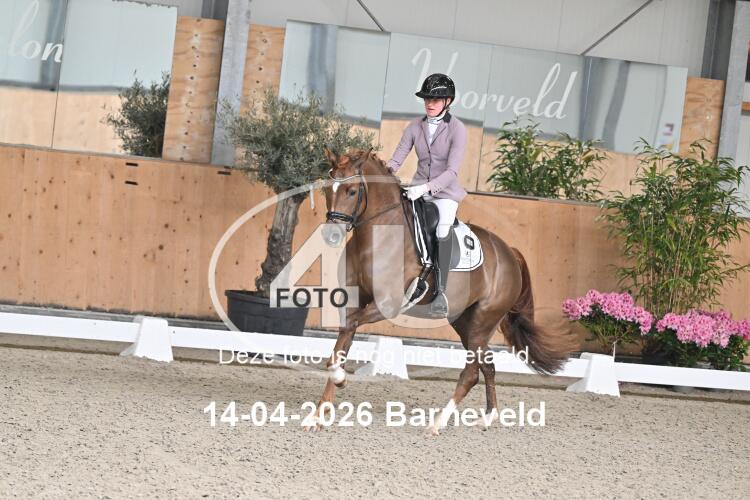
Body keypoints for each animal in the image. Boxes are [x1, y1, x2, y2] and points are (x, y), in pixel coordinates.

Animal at [309, 148, 575, 434]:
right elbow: (343, 341)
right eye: (328, 188)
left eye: (352, 191)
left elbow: (346, 334)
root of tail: (510, 253)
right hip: (464, 322)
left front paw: (339, 380)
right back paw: (488, 417)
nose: (331, 235)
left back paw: (437, 424)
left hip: (483, 321)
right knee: (488, 367)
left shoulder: (387, 304)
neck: (378, 236)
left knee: (471, 374)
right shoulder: (355, 301)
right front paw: (319, 414)